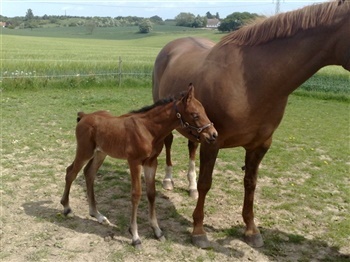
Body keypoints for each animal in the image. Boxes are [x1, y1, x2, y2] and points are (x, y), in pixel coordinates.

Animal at [61, 85, 217, 249]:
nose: (213, 134)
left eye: (204, 111)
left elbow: (151, 193)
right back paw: (67, 208)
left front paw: (157, 231)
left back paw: (97, 215)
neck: (148, 129)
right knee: (70, 172)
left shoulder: (151, 162)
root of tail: (84, 116)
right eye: (195, 115)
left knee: (89, 173)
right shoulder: (134, 162)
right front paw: (135, 237)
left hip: (100, 153)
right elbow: (136, 194)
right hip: (84, 151)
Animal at [152, 0, 350, 249]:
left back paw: (190, 188)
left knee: (191, 148)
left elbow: (250, 184)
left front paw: (251, 229)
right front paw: (198, 231)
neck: (251, 83)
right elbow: (207, 182)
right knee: (168, 144)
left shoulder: (259, 145)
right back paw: (168, 180)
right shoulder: (213, 142)